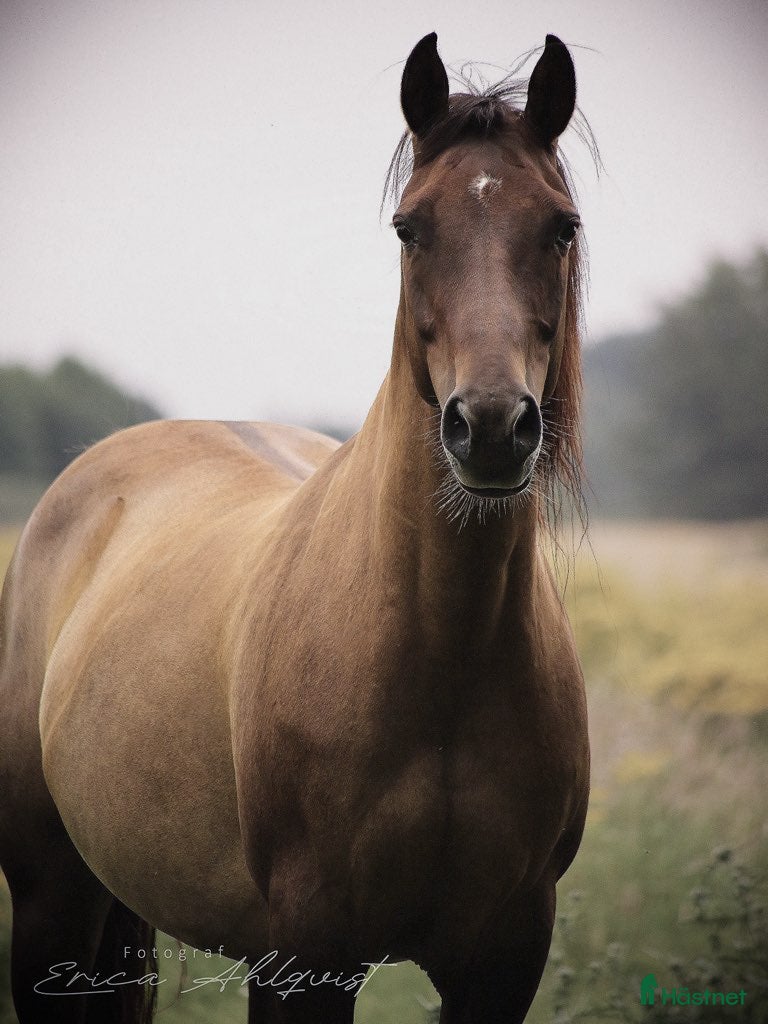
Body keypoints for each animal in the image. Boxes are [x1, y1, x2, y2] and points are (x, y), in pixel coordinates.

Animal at [0, 31, 590, 1024]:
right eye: (409, 227)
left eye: (561, 226)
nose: (491, 426)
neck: (441, 655)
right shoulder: (304, 957)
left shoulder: (504, 960)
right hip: (52, 903)